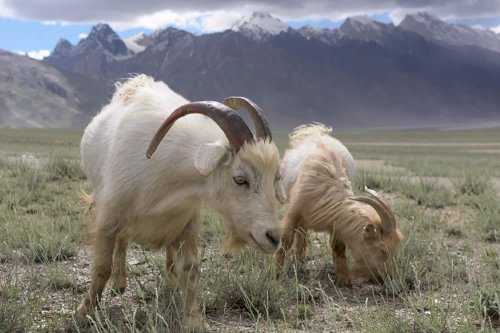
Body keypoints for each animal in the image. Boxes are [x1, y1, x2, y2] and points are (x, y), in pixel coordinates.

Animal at [76, 74, 284, 328]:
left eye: (275, 178)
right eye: (240, 179)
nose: (273, 237)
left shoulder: (188, 218)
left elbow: (191, 268)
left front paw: (194, 320)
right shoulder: (109, 215)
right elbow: (101, 268)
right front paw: (85, 312)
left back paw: (167, 280)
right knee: (123, 241)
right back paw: (120, 282)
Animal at [274, 123, 402, 284]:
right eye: (383, 250)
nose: (389, 277)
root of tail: (318, 132)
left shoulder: (334, 223)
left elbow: (338, 247)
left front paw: (344, 279)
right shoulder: (294, 212)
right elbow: (285, 241)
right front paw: (275, 275)